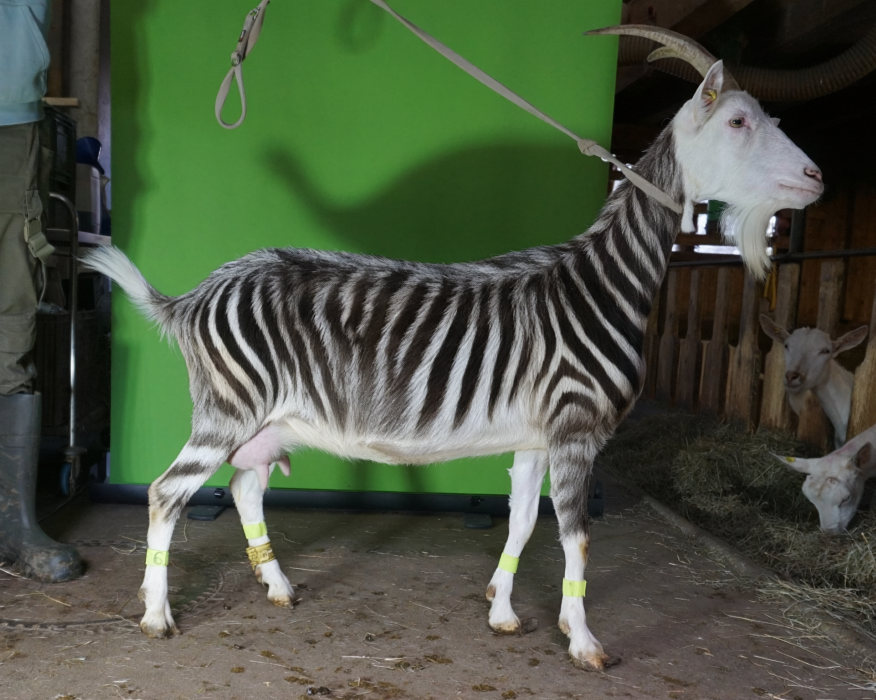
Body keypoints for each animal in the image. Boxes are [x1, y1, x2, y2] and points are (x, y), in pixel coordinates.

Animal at [83, 28, 824, 671]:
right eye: (738, 122)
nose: (817, 177)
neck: (601, 284)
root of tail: (192, 298)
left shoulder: (534, 437)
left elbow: (522, 524)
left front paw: (503, 613)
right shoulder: (576, 428)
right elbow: (577, 537)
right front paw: (585, 643)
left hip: (266, 421)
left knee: (242, 487)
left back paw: (279, 587)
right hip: (229, 411)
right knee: (165, 493)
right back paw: (157, 617)